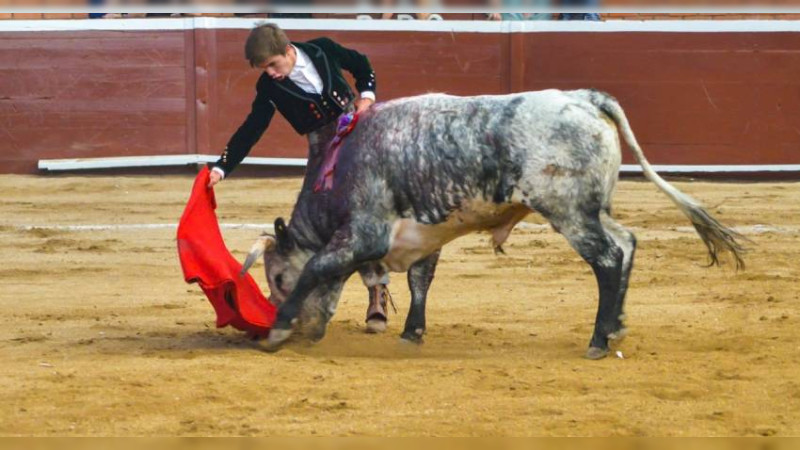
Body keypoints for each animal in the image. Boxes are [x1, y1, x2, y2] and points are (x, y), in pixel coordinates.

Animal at [241, 89, 748, 360]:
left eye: (278, 278)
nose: (306, 333)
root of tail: (583, 98)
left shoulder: (364, 232)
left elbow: (319, 267)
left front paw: (277, 331)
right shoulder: (425, 233)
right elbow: (421, 280)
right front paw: (412, 333)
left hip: (569, 213)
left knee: (607, 258)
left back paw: (599, 340)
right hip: (594, 210)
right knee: (627, 244)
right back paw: (617, 327)